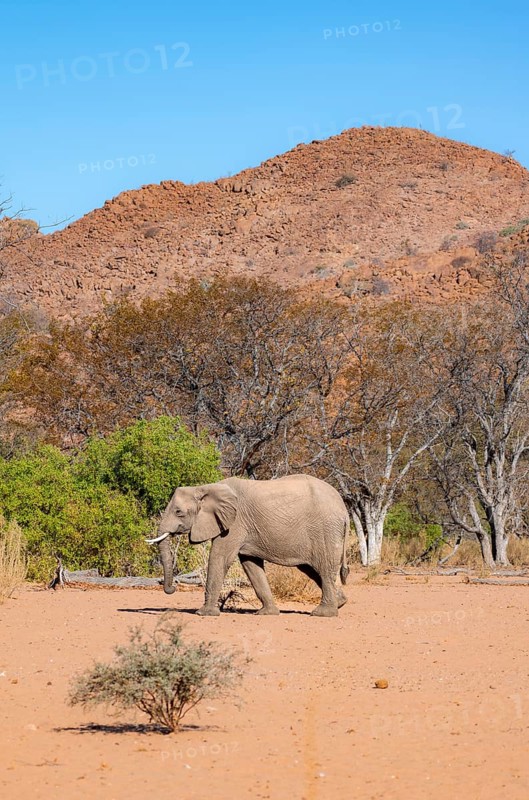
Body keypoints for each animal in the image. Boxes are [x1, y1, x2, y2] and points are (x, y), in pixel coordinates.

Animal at [148, 474, 350, 617]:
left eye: (179, 512)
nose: (173, 589)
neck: (205, 487)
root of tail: (344, 508)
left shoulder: (235, 524)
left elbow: (219, 558)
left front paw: (204, 613)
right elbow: (251, 565)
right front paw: (267, 613)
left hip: (325, 530)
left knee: (324, 568)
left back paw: (323, 613)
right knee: (312, 569)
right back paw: (340, 602)